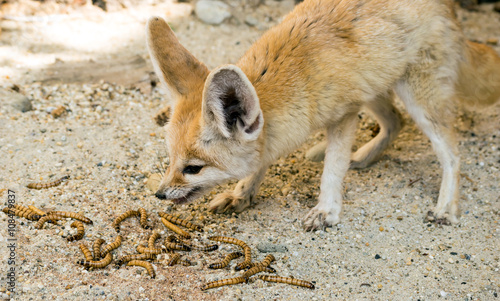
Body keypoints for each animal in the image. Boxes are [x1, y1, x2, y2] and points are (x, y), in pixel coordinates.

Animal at [148, 0, 500, 230]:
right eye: (170, 159)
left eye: (193, 169)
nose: (159, 194)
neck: (295, 78)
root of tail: (450, 7)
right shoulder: (294, 126)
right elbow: (261, 161)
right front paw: (241, 193)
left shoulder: (344, 115)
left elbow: (332, 169)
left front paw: (327, 210)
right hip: (373, 88)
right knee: (395, 123)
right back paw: (362, 156)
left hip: (415, 98)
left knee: (452, 154)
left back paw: (445, 208)